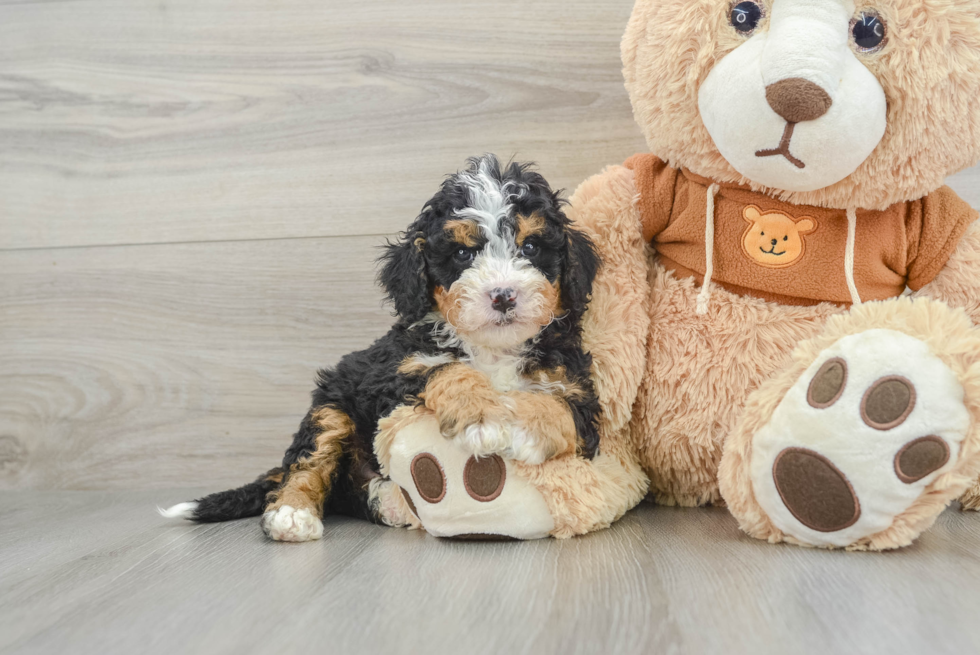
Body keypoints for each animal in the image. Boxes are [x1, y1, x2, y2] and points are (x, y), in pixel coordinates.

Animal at [160, 155, 600, 544]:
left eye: (531, 248)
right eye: (462, 254)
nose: (503, 295)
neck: (491, 350)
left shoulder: (580, 392)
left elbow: (559, 408)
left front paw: (522, 426)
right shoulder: (390, 372)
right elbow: (444, 368)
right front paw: (483, 418)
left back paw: (390, 502)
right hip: (331, 405)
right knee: (308, 464)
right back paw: (293, 513)